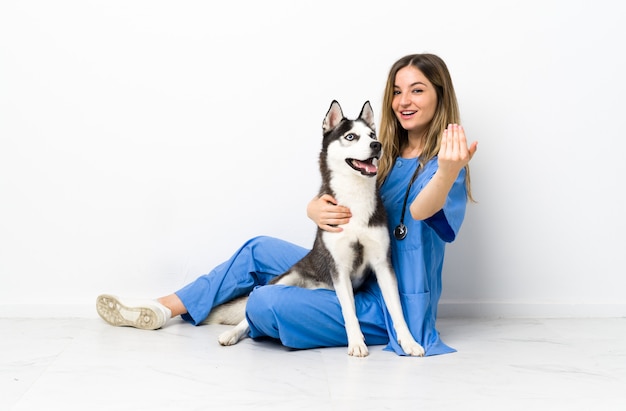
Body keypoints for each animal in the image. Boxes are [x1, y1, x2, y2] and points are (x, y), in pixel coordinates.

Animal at [207, 100, 422, 358]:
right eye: (351, 136)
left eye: (372, 135)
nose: (376, 145)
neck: (354, 199)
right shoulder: (339, 267)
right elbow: (349, 311)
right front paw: (356, 342)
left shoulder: (382, 264)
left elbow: (397, 310)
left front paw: (408, 342)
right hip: (285, 278)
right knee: (249, 311)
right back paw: (232, 333)